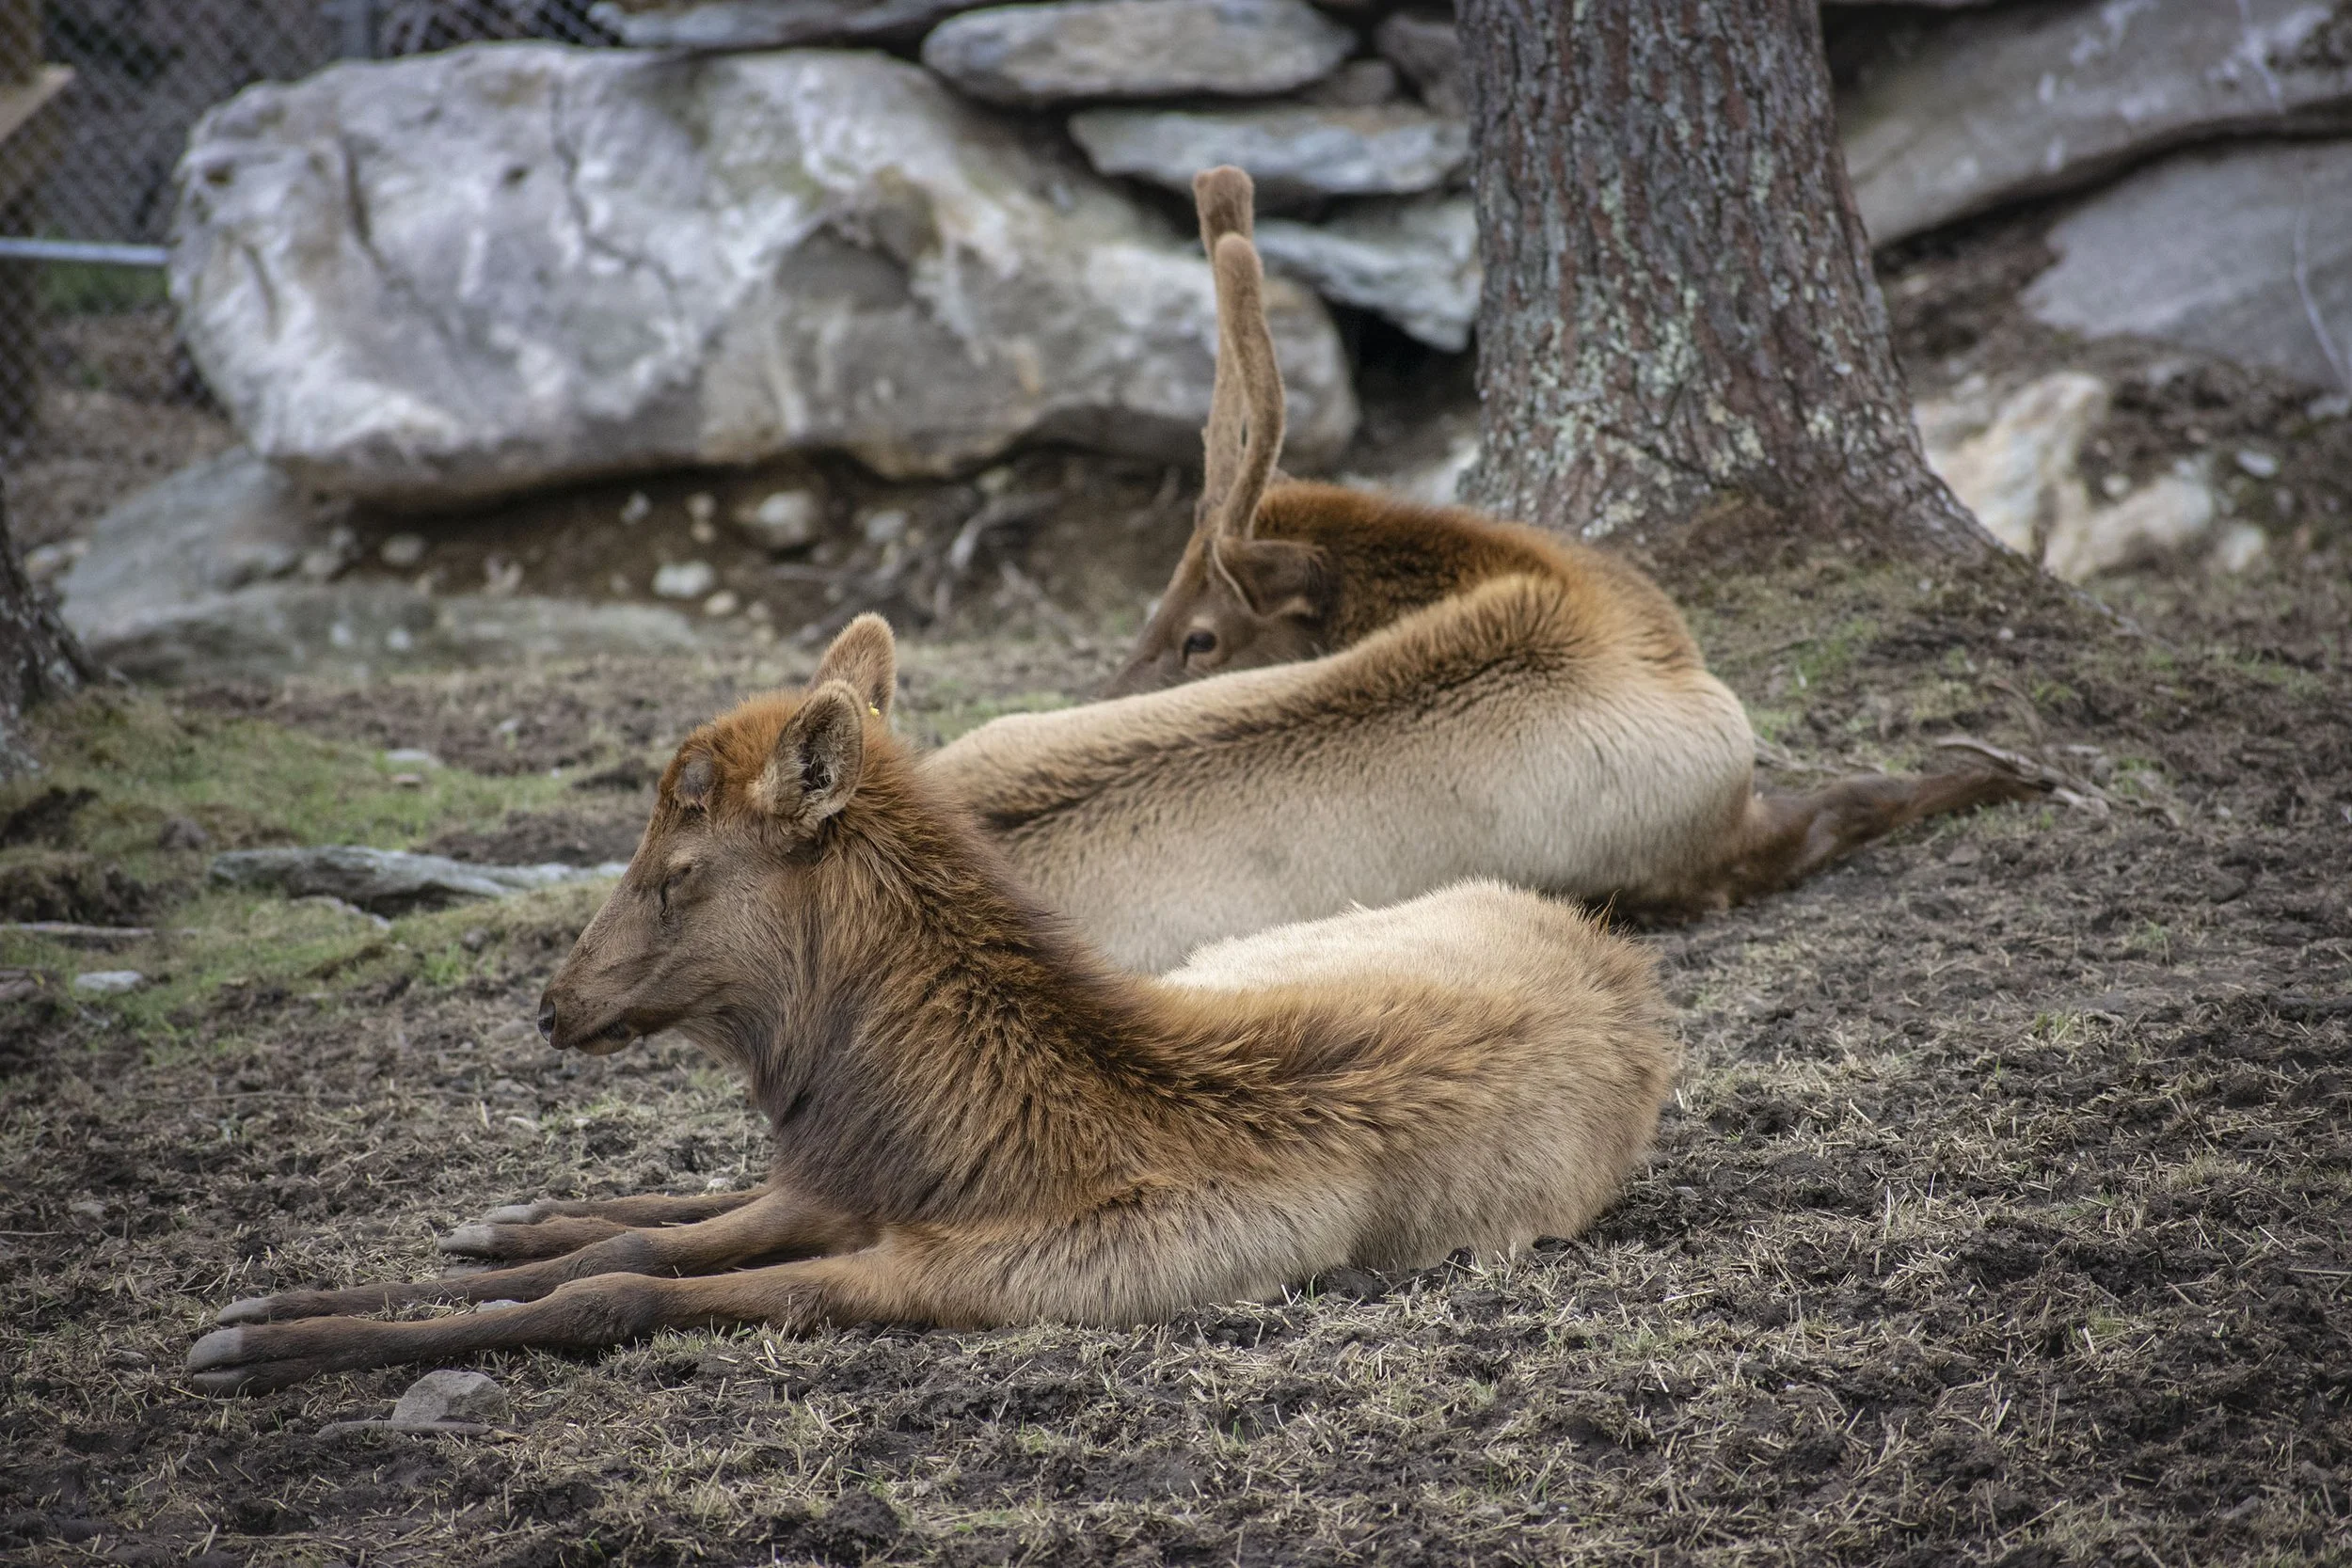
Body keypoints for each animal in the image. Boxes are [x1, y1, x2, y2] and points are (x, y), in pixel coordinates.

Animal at [184, 616, 1679, 1394]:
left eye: (674, 870)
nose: (552, 1005)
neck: (971, 1129)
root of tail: (1616, 955)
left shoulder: (957, 1268)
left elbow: (616, 1285)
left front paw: (259, 1339)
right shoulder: (840, 1184)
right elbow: (634, 1240)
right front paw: (289, 1301)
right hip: (1230, 956)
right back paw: (505, 1208)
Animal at [920, 166, 2050, 974]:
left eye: (1195, 632)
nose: (1105, 685)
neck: (1626, 625)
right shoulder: (1700, 846)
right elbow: (1862, 794)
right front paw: (2010, 769)